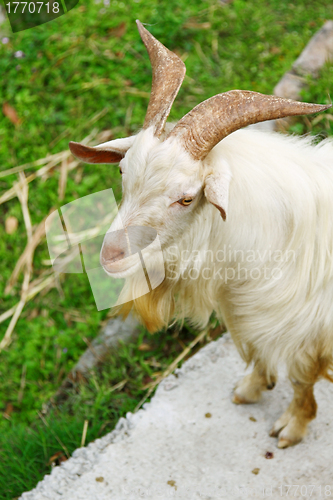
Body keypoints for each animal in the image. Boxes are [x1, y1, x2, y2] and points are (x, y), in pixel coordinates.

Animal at [69, 20, 332, 450]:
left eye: (187, 198)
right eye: (123, 171)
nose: (111, 256)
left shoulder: (306, 327)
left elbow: (300, 377)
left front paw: (291, 427)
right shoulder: (248, 308)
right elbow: (257, 349)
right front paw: (251, 388)